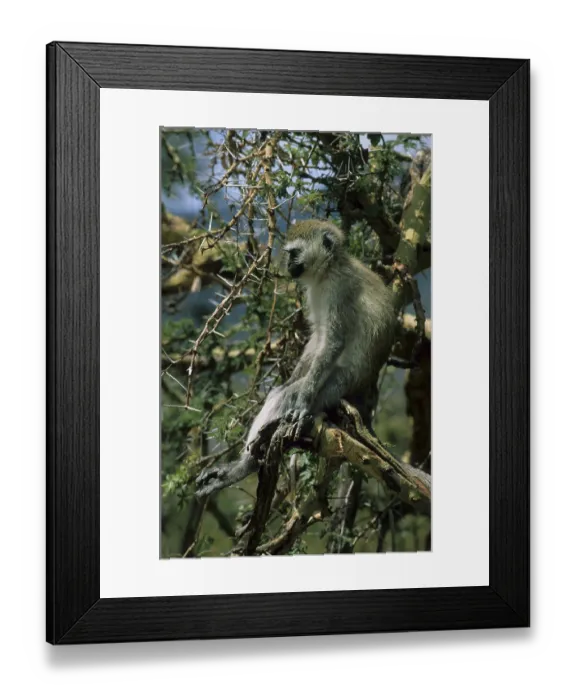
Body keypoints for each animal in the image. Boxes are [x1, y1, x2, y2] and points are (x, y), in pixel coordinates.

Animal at [195, 219, 396, 498]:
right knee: (279, 393)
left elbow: (332, 342)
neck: (328, 269)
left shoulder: (340, 289)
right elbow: (318, 339)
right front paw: (292, 377)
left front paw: (302, 400)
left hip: (337, 386)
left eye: (294, 253)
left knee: (292, 395)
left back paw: (245, 466)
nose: (288, 265)